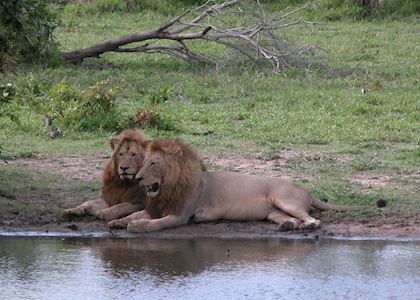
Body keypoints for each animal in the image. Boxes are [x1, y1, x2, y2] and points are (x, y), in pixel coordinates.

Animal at [108, 137, 368, 233]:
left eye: (153, 163)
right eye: (143, 162)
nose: (138, 178)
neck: (169, 187)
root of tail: (307, 190)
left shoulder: (180, 215)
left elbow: (156, 223)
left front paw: (138, 226)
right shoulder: (157, 207)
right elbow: (135, 214)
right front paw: (117, 222)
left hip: (284, 199)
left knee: (313, 219)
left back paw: (307, 226)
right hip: (274, 212)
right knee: (289, 219)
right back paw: (287, 226)